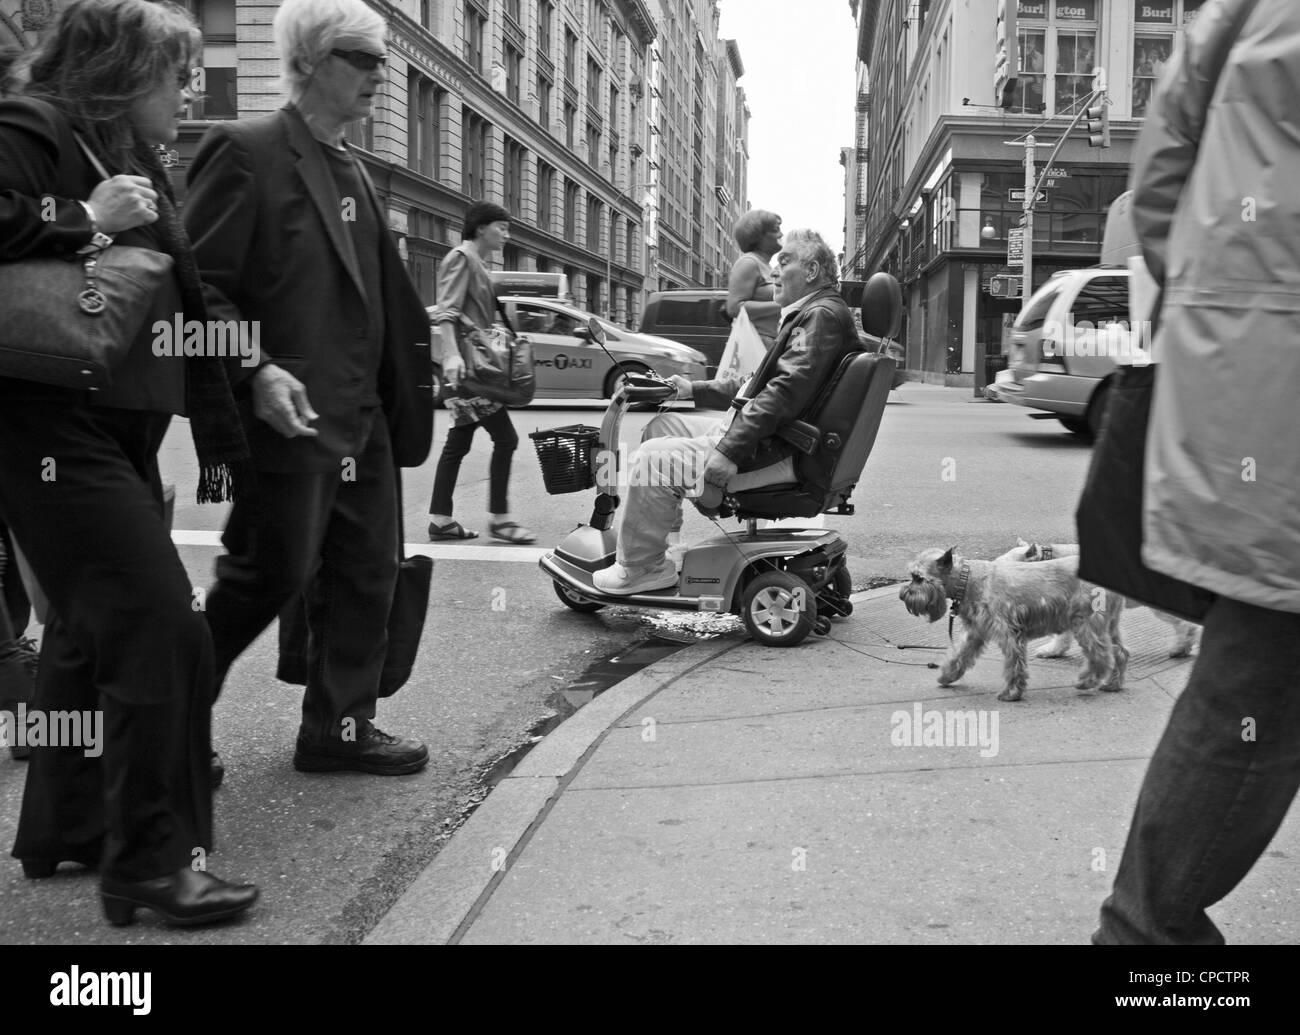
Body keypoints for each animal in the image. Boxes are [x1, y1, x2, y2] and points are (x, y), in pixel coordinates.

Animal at [904, 540, 1128, 702]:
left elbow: (1014, 665)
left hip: (1086, 624)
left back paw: (1087, 681)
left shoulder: (1009, 635)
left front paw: (1011, 693)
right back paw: (1113, 684)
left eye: (919, 578)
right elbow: (960, 655)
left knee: (1101, 655)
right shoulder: (976, 632)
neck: (968, 580)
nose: (903, 593)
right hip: (1109, 626)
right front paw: (948, 675)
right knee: (1120, 653)